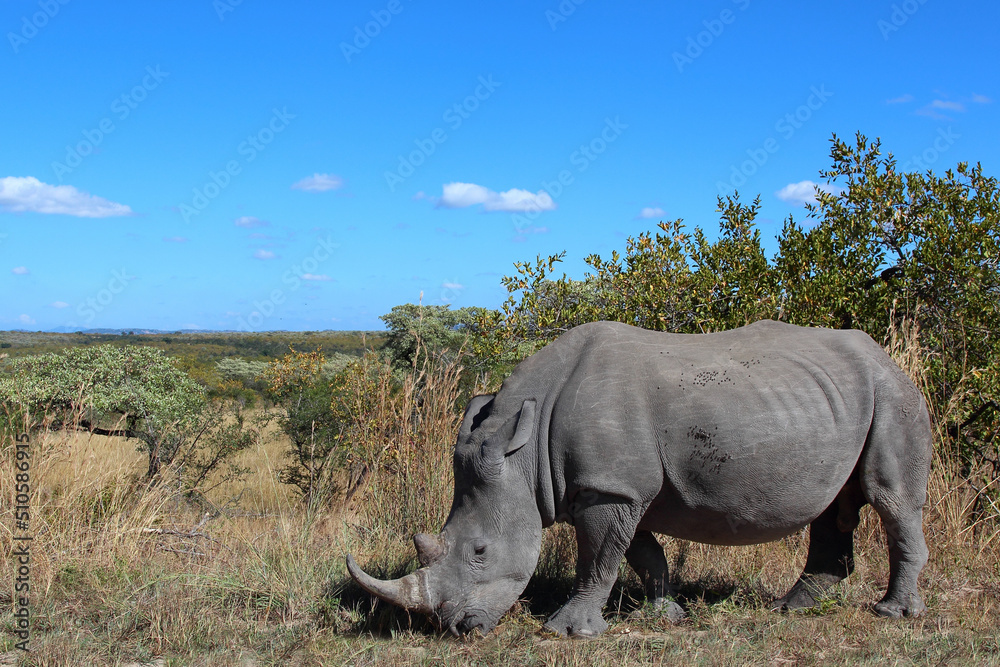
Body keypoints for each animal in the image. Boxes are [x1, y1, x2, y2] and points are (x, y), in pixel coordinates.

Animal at [347, 320, 932, 637]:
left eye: (480, 553)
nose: (456, 629)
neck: (524, 448)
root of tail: (887, 355)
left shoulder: (608, 488)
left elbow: (597, 559)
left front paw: (568, 631)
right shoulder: (617, 487)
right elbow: (640, 553)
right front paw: (668, 614)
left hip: (893, 393)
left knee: (890, 499)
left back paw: (894, 614)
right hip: (842, 397)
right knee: (837, 505)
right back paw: (793, 609)